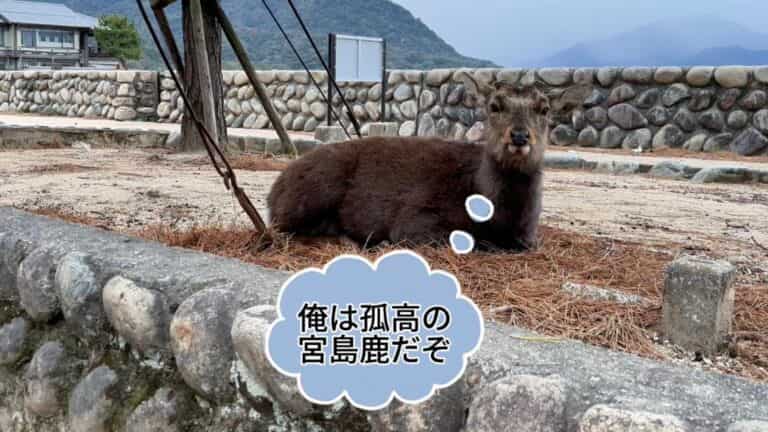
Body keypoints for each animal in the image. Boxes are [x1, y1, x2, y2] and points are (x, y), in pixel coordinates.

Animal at [267, 73, 591, 251]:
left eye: (544, 109)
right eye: (495, 106)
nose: (520, 136)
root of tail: (274, 191)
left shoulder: (528, 237)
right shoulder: (415, 218)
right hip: (313, 192)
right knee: (285, 229)